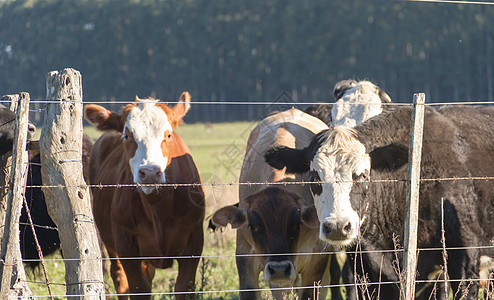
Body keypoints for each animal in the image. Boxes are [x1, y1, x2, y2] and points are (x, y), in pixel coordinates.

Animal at [85, 92, 205, 298]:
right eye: (127, 135)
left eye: (168, 135)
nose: (149, 172)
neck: (158, 209)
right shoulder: (125, 243)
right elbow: (138, 287)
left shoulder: (194, 241)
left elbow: (184, 287)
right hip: (111, 242)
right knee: (119, 277)